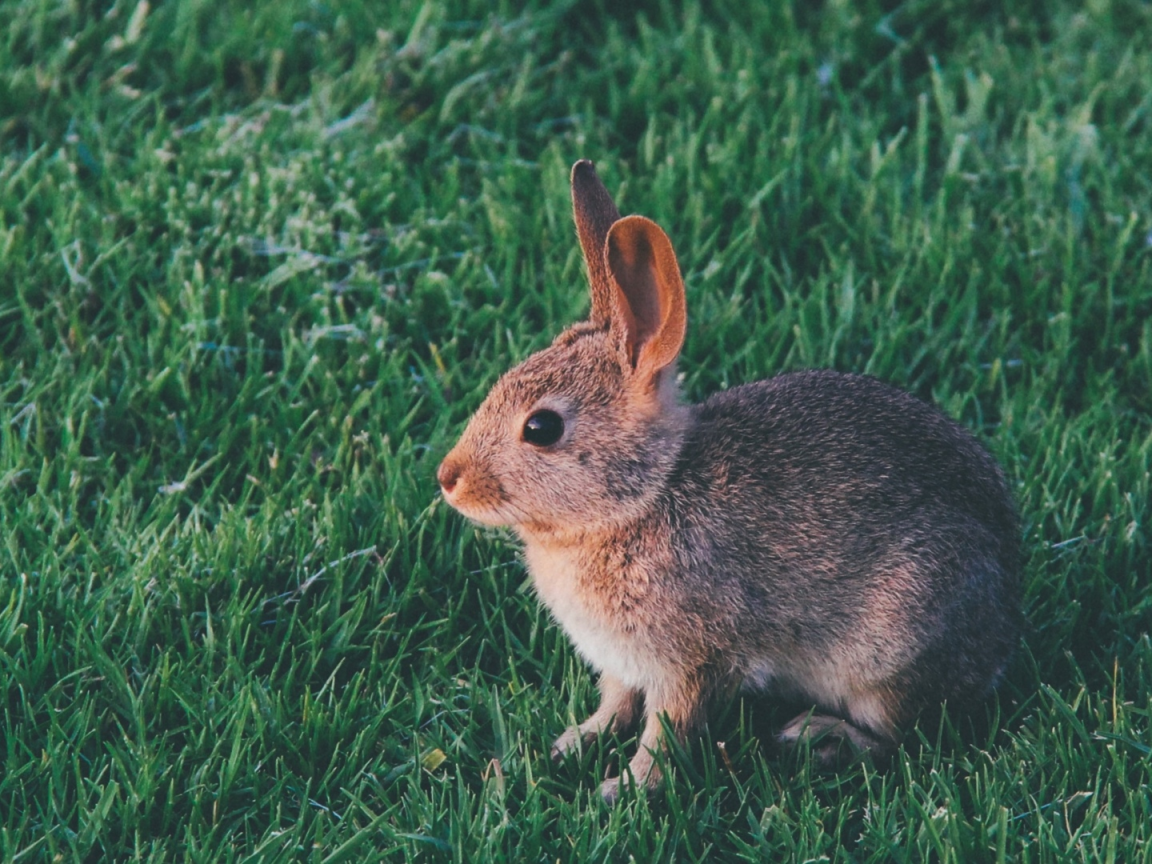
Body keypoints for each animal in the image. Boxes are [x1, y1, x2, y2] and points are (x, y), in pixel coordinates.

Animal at [435, 158, 1022, 801]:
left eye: (541, 427)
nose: (448, 479)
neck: (643, 497)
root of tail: (1003, 625)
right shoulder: (622, 662)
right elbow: (614, 705)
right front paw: (573, 743)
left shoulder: (691, 661)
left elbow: (666, 730)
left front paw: (624, 789)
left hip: (888, 654)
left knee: (896, 735)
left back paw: (817, 736)